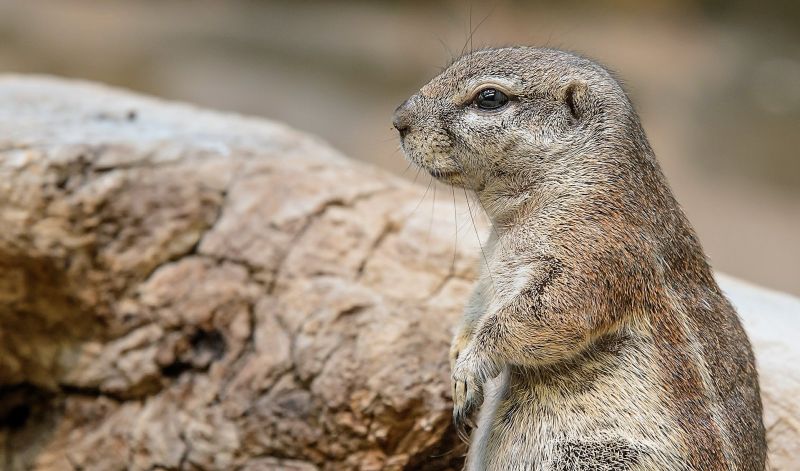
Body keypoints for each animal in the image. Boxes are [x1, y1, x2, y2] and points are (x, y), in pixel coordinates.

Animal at [394, 48, 768, 471]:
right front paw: (457, 355)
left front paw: (469, 368)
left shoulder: (594, 256)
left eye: (489, 98)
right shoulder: (488, 274)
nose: (399, 120)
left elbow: (538, 318)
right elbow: (474, 310)